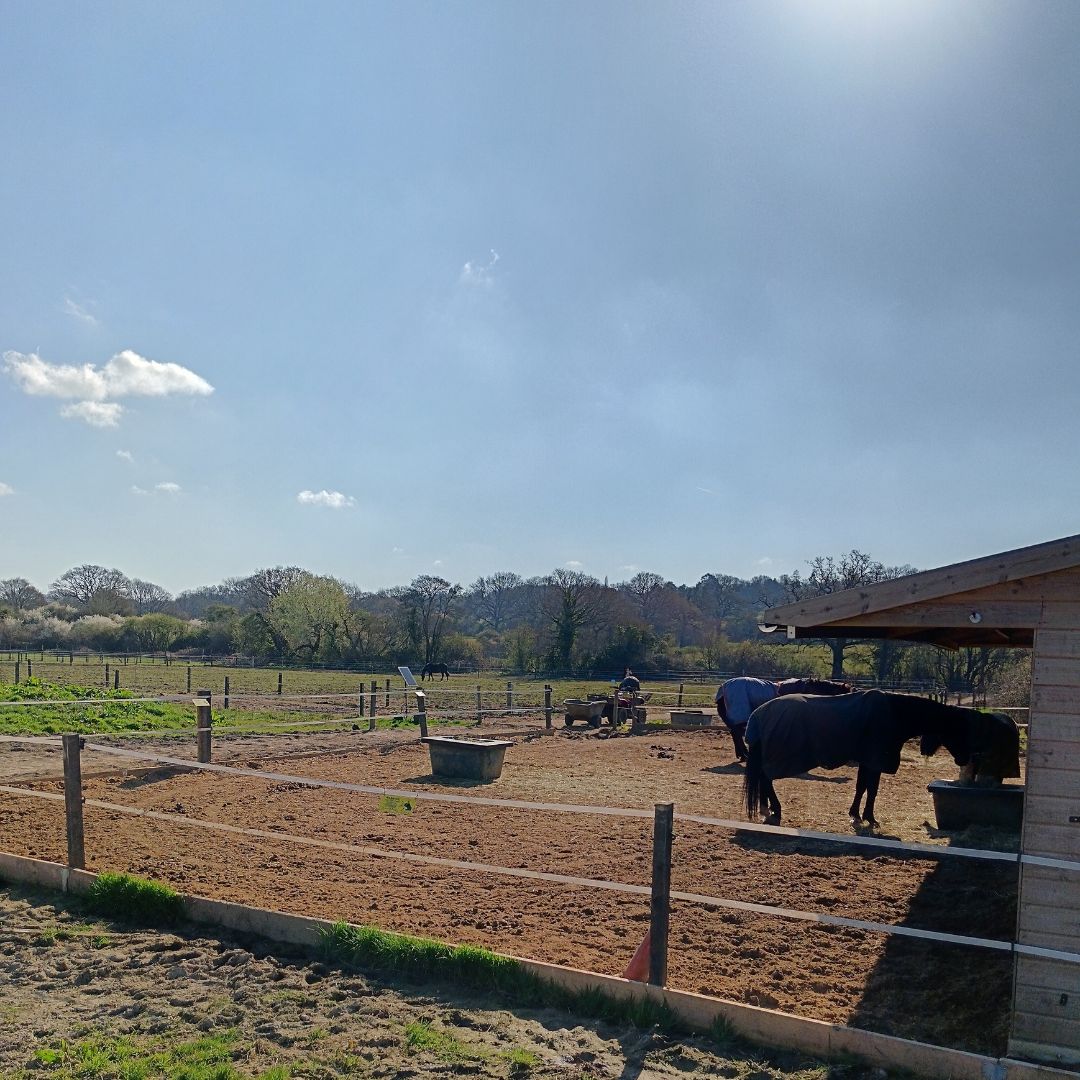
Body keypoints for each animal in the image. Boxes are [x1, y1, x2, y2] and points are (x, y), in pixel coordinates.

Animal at [743, 689, 1020, 827]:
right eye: (959, 731)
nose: (964, 760)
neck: (894, 714)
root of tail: (758, 714)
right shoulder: (875, 761)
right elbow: (872, 790)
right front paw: (869, 818)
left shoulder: (867, 760)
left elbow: (861, 787)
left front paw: (855, 814)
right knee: (767, 779)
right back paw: (775, 810)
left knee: (764, 780)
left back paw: (768, 809)